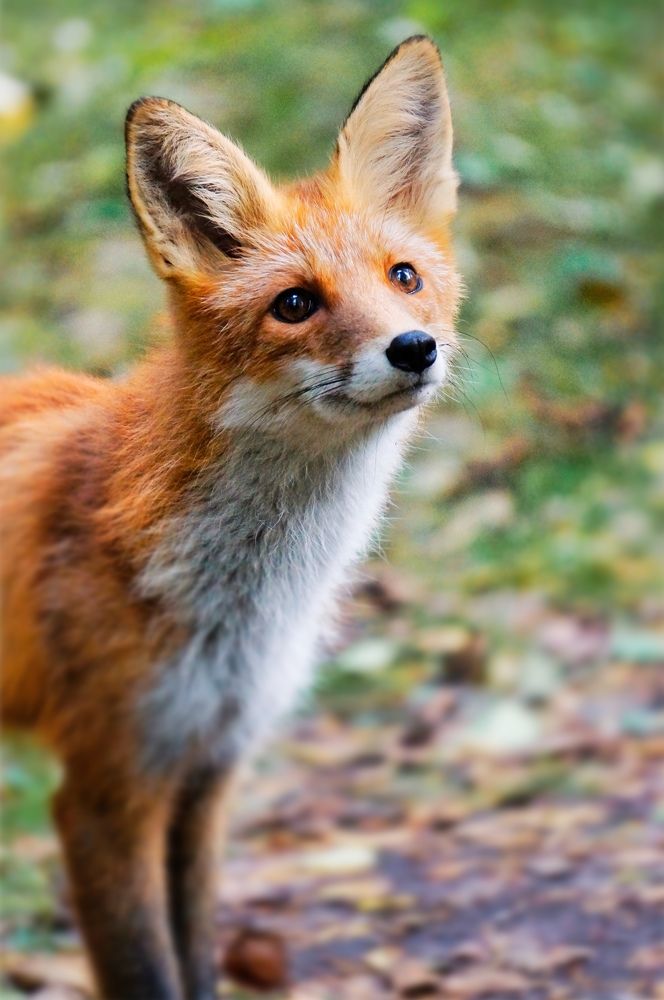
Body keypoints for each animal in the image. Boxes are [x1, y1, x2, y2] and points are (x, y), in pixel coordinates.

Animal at [0, 35, 461, 1000]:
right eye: (295, 304)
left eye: (403, 278)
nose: (414, 347)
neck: (242, 604)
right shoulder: (105, 791)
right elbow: (148, 973)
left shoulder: (208, 772)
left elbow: (199, 962)